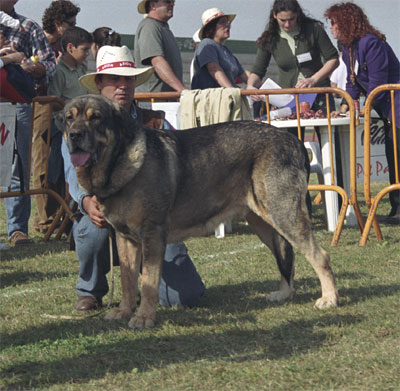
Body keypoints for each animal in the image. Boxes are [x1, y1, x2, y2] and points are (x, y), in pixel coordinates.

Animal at [63, 95, 338, 330]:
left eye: (96, 117)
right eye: (69, 117)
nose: (74, 134)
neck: (118, 160)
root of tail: (294, 141)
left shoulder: (152, 235)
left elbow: (149, 282)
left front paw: (143, 318)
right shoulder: (125, 238)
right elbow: (128, 280)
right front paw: (123, 311)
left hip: (284, 214)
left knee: (320, 255)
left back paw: (329, 298)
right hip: (263, 222)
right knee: (285, 254)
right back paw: (284, 293)